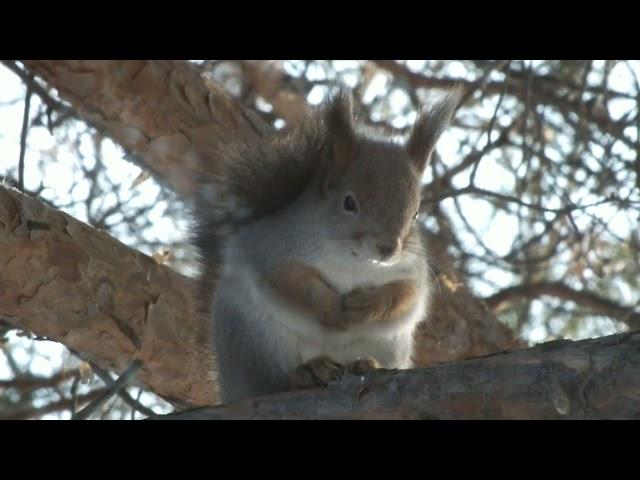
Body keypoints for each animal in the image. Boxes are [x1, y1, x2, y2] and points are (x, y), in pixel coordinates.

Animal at [192, 87, 462, 404]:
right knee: (272, 381)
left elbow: (406, 294)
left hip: (389, 345)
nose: (388, 248)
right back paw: (306, 372)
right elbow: (292, 283)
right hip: (253, 342)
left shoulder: (411, 270)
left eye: (416, 213)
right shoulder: (273, 250)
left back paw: (365, 363)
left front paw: (368, 304)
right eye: (349, 203)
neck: (354, 261)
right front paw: (331, 307)